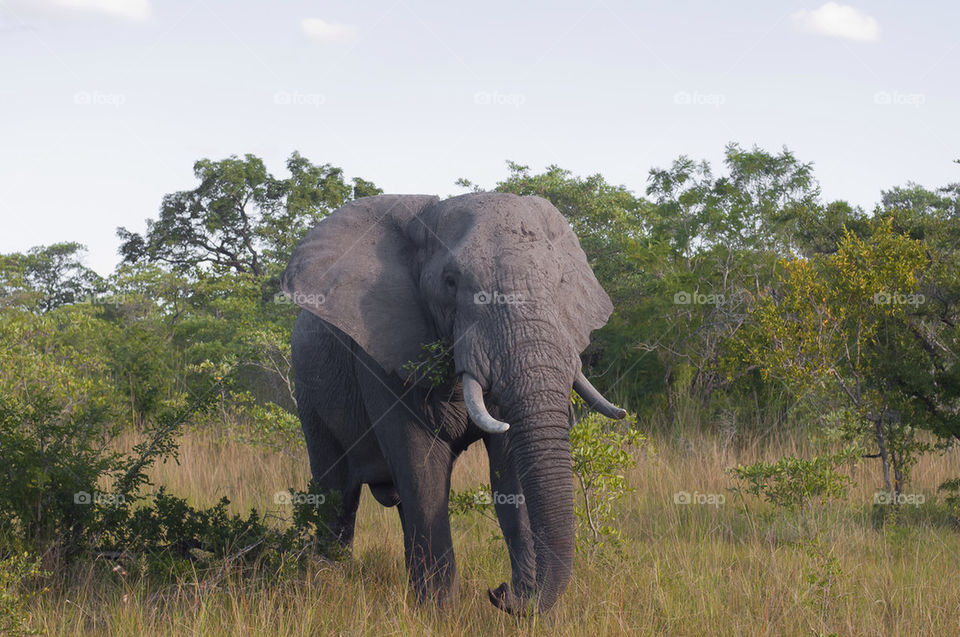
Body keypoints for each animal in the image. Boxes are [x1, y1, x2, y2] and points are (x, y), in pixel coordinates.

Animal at [281, 192, 625, 614]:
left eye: (561, 283)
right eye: (450, 282)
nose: (501, 591)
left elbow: (509, 467)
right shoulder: (381, 352)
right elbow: (422, 468)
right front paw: (439, 616)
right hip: (309, 392)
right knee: (337, 494)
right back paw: (328, 584)